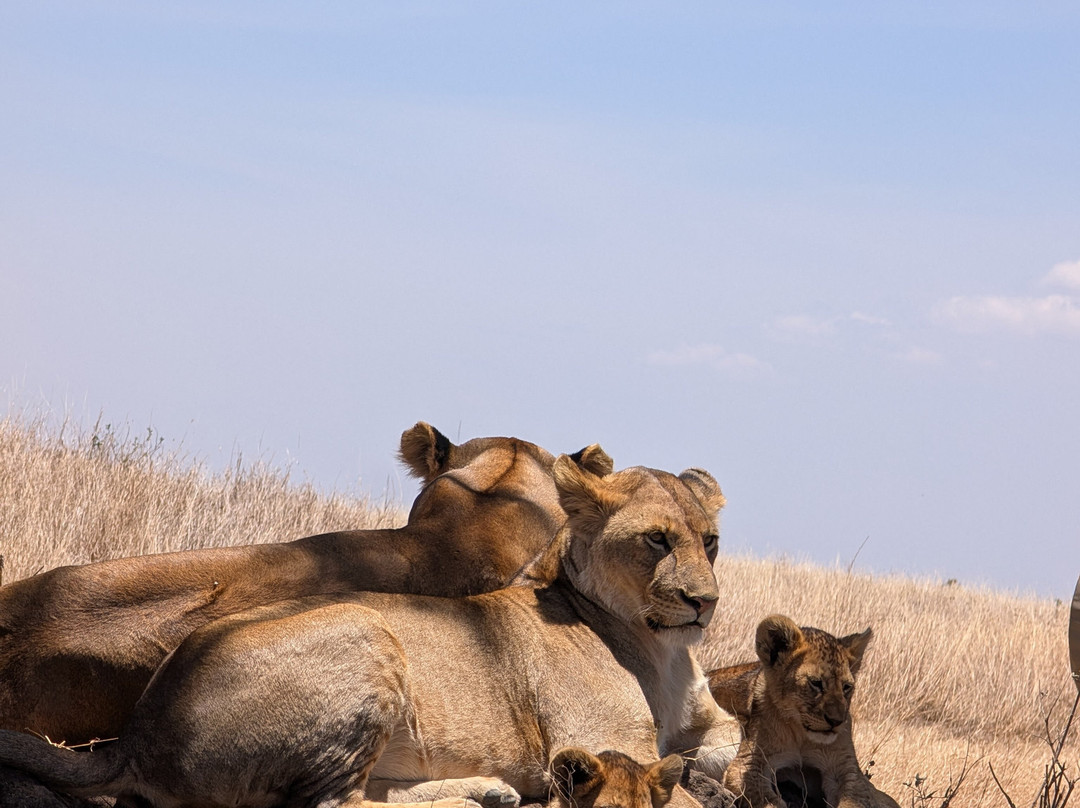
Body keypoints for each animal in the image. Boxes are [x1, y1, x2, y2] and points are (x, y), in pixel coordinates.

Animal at [0, 457, 741, 808]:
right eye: (655, 540)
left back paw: (489, 789)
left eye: (710, 541)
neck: (666, 650)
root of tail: (138, 730)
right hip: (366, 625)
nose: (704, 604)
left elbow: (727, 746)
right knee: (335, 803)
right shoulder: (605, 746)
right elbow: (675, 792)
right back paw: (472, 799)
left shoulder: (707, 722)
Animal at [706, 615, 899, 808]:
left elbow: (852, 800)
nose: (836, 721)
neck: (802, 736)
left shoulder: (845, 769)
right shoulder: (747, 765)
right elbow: (770, 801)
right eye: (816, 683)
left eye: (847, 687)